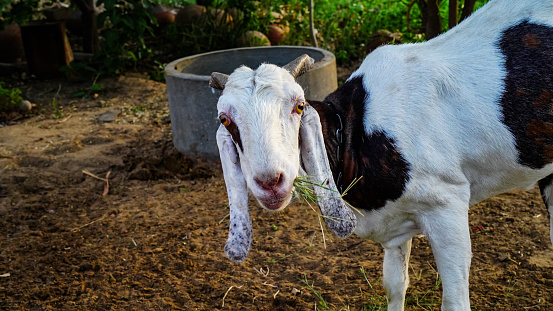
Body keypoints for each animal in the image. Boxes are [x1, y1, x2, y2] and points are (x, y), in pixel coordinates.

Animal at [208, 1, 552, 310]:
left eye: (299, 106)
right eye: (225, 120)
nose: (270, 181)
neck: (352, 134)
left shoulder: (447, 204)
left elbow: (454, 301)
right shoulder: (396, 224)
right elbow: (394, 287)